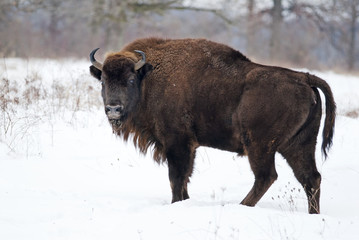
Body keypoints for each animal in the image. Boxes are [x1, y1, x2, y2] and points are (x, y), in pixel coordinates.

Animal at [88, 37, 336, 214]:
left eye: (130, 80)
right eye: (103, 81)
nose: (113, 109)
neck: (148, 77)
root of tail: (305, 77)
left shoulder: (177, 143)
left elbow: (176, 178)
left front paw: (176, 203)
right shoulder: (189, 147)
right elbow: (185, 177)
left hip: (260, 146)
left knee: (267, 176)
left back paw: (241, 206)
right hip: (298, 145)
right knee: (310, 178)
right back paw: (312, 215)